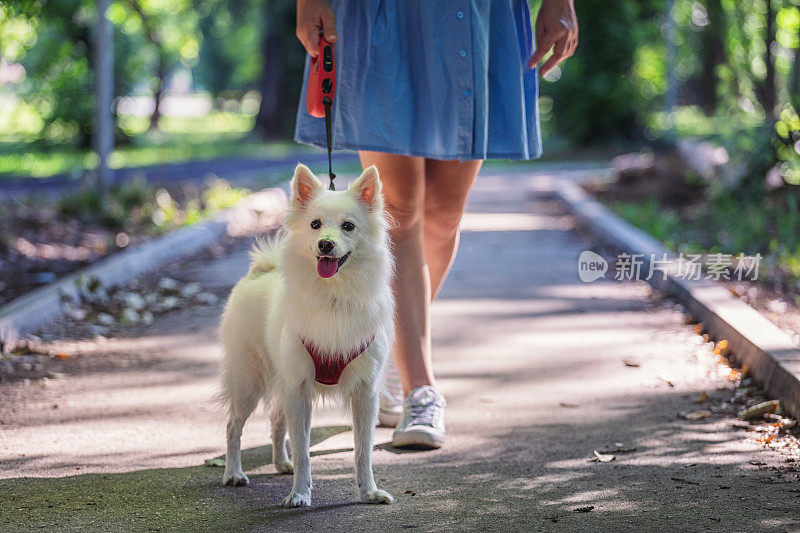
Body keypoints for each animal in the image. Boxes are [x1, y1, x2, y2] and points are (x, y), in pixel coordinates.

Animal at [219, 164, 394, 504]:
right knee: (234, 426)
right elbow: (303, 449)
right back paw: (233, 473)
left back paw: (281, 463)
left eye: (348, 226)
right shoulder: (299, 389)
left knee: (276, 421)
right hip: (249, 381)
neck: (334, 297)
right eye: (315, 225)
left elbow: (363, 449)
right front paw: (300, 493)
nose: (325, 243)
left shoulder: (364, 392)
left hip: (280, 380)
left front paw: (369, 491)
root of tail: (259, 273)